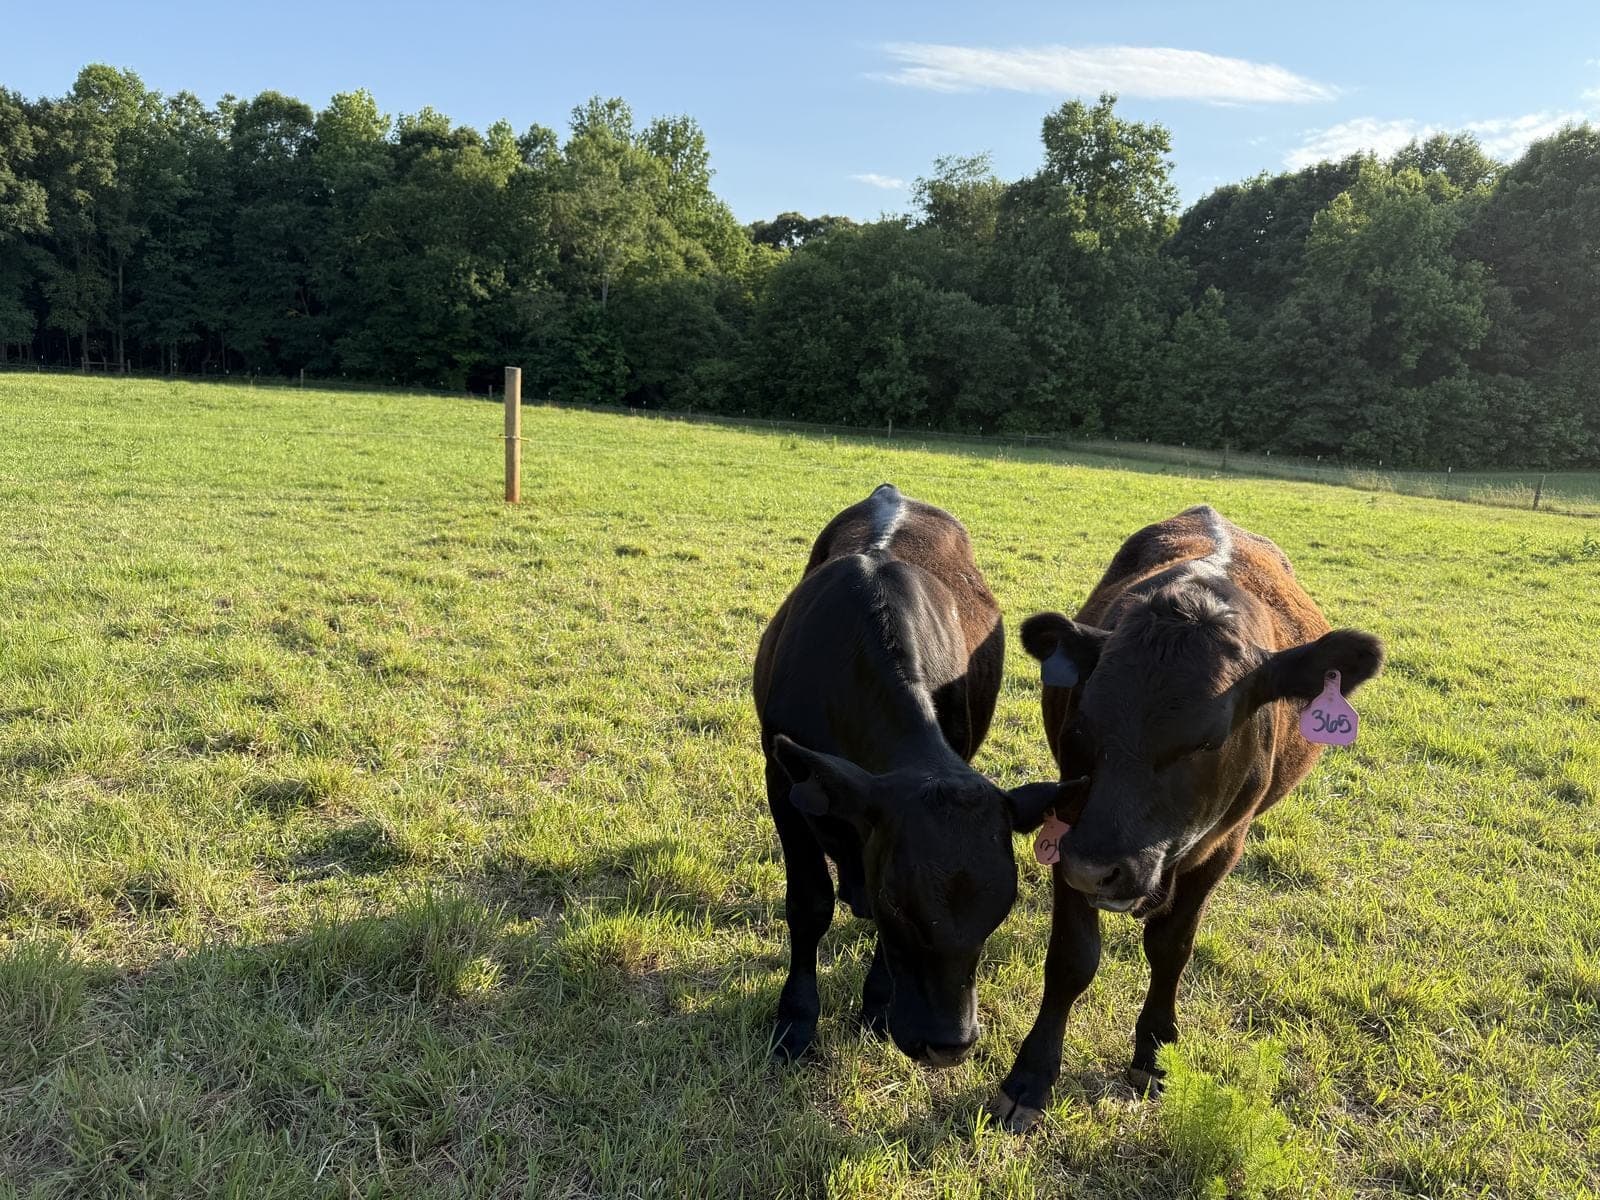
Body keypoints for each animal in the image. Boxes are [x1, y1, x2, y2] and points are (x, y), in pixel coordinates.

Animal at [754, 484, 1064, 1067]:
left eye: (1001, 909)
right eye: (898, 902)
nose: (948, 1044)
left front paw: (877, 1004)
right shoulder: (784, 781)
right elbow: (809, 903)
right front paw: (796, 1020)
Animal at [991, 505, 1384, 1133]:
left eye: (1209, 739)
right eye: (1083, 726)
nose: (1099, 869)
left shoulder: (1222, 847)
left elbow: (1171, 947)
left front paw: (1154, 1051)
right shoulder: (1069, 828)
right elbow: (1073, 958)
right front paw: (1030, 1077)